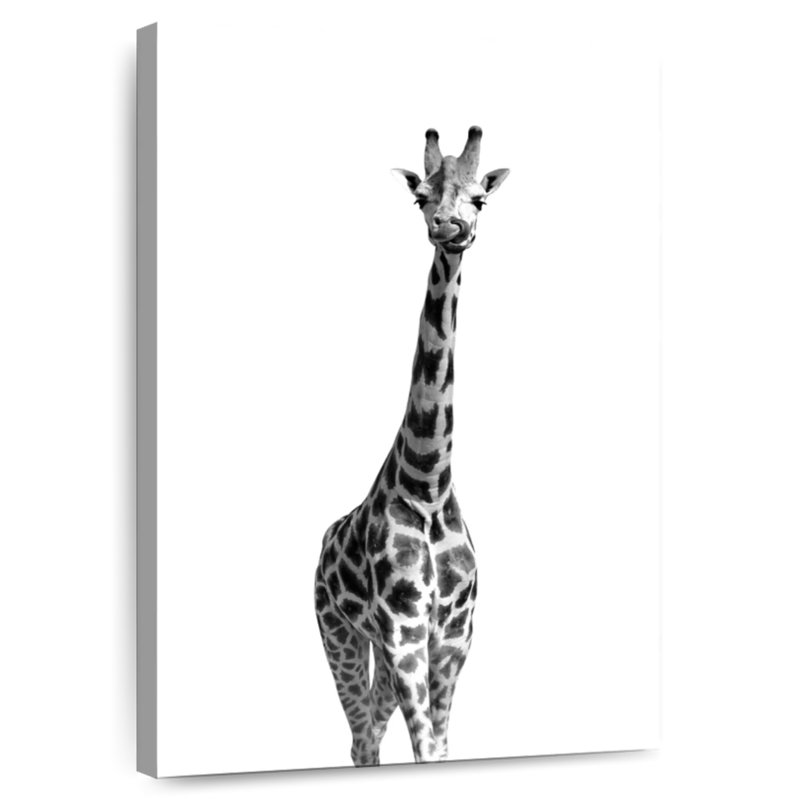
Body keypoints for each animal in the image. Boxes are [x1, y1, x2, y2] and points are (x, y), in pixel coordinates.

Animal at [315, 126, 509, 766]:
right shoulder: (403, 631)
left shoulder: (453, 636)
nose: (450, 226)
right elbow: (424, 746)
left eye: (480, 199)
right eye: (421, 197)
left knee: (370, 730)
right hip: (339, 634)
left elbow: (440, 748)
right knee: (359, 737)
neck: (427, 482)